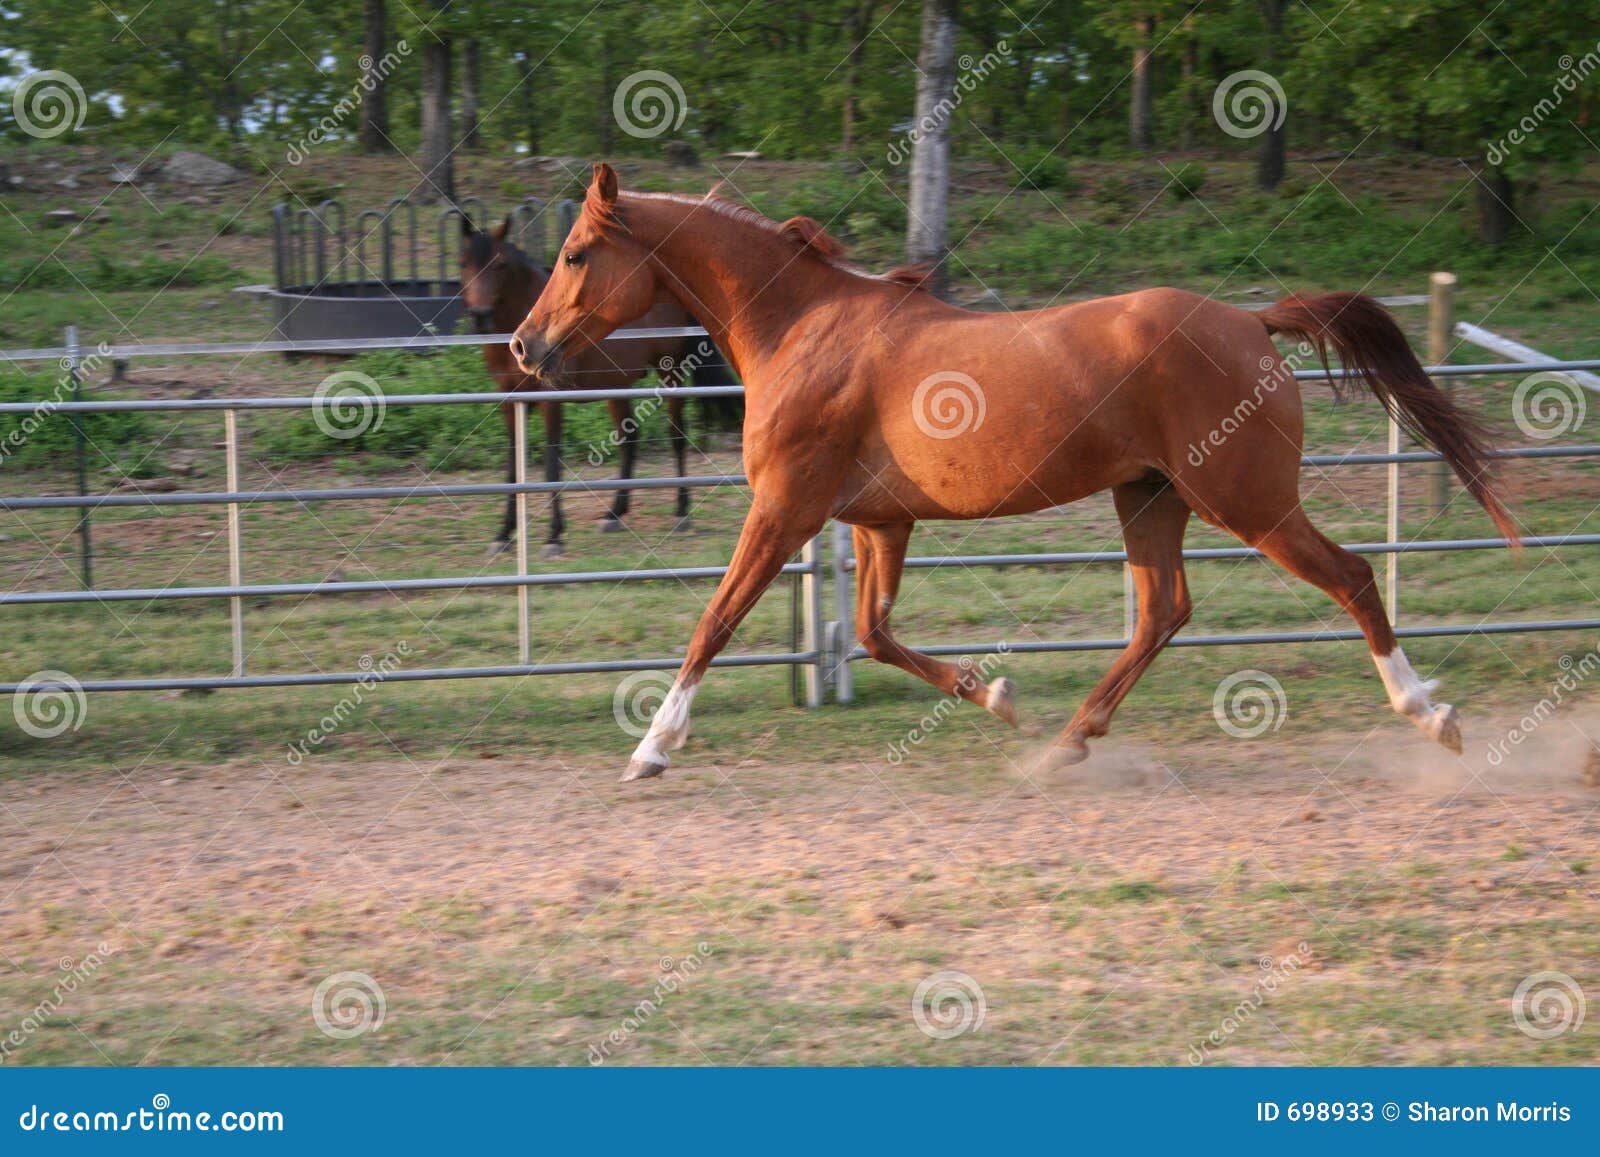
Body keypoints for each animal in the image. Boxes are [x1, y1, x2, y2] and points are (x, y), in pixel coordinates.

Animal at [464, 222, 713, 560]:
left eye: (500, 264)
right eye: (465, 263)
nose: (480, 316)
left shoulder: (549, 401)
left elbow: (552, 463)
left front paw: (554, 537)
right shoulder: (509, 401)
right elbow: (513, 468)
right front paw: (503, 534)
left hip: (670, 372)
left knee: (677, 435)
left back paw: (682, 512)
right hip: (618, 386)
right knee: (629, 440)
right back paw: (614, 514)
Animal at [505, 163, 1516, 784]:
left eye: (576, 254)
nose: (522, 345)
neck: (803, 328)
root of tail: (1249, 320)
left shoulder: (786, 509)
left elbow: (714, 622)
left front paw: (651, 748)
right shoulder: (880, 523)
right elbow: (872, 633)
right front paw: (994, 695)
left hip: (1249, 502)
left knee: (1350, 576)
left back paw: (1432, 717)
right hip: (1151, 498)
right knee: (1163, 612)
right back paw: (1064, 743)